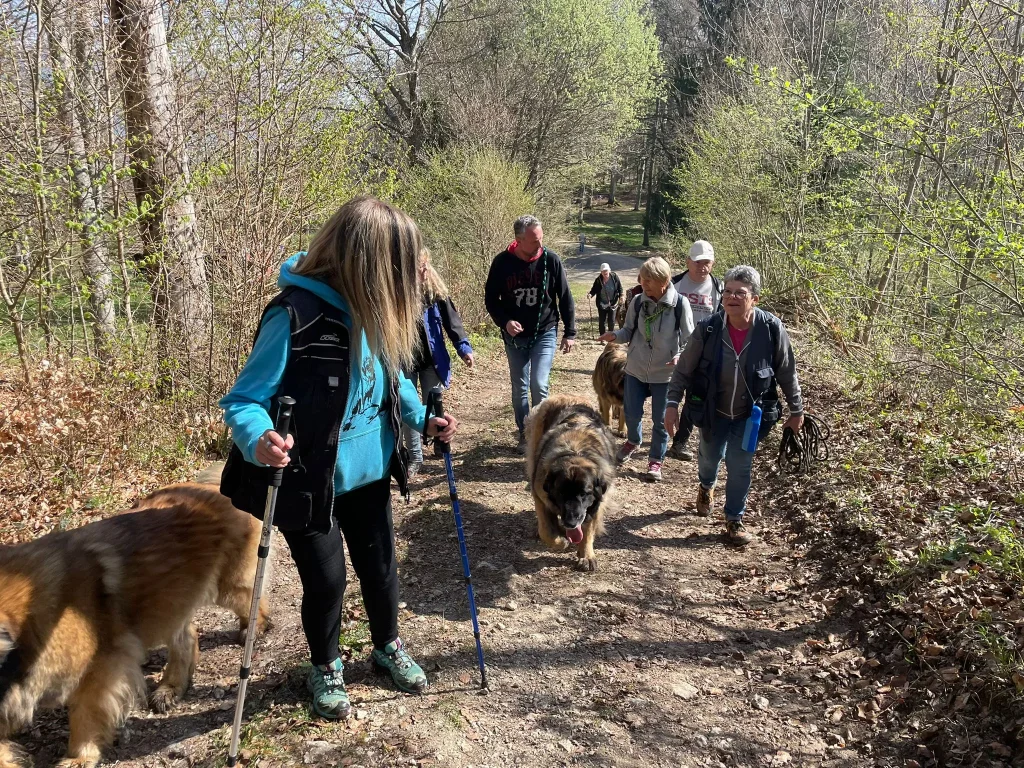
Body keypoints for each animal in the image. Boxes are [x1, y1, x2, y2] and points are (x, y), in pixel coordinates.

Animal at [0, 479, 268, 768]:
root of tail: (209, 484)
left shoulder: (100, 669)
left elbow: (84, 715)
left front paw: (80, 756)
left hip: (224, 588)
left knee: (251, 599)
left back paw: (254, 628)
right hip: (167, 602)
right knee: (187, 637)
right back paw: (170, 687)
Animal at [525, 395, 616, 572]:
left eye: (584, 494)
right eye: (561, 492)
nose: (571, 522)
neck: (575, 452)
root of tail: (566, 396)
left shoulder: (597, 503)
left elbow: (588, 528)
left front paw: (586, 555)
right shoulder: (540, 495)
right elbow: (546, 531)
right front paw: (561, 540)